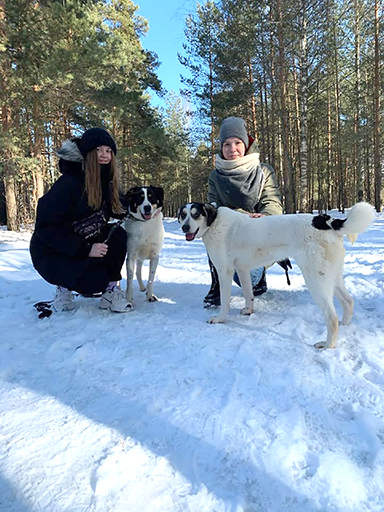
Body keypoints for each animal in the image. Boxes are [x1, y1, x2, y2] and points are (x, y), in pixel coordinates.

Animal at [178, 202, 376, 350]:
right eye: (183, 214)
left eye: (196, 214)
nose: (184, 227)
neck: (214, 224)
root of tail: (325, 221)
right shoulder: (242, 269)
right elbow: (249, 294)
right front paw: (249, 310)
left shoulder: (224, 270)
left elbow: (225, 301)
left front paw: (220, 319)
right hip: (331, 277)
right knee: (348, 301)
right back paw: (345, 325)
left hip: (316, 280)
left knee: (331, 317)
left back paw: (328, 345)